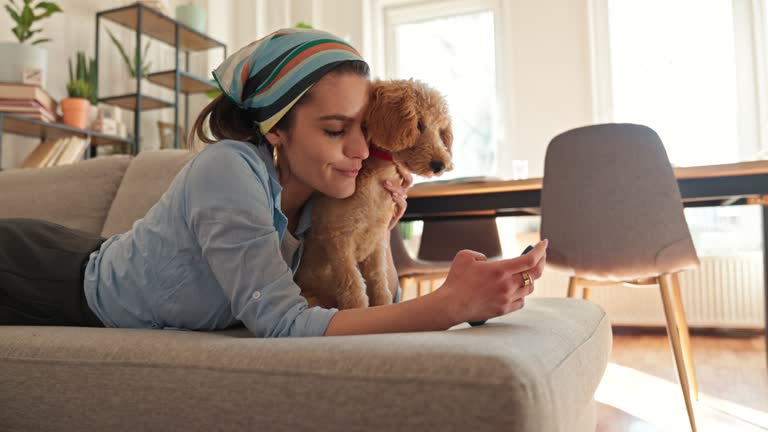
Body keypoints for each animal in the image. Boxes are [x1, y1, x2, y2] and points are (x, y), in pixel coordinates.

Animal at [296, 80, 452, 310]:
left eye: (441, 130)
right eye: (419, 124)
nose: (440, 165)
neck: (378, 177)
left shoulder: (376, 241)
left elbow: (379, 283)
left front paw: (383, 305)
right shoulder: (339, 240)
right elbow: (354, 289)